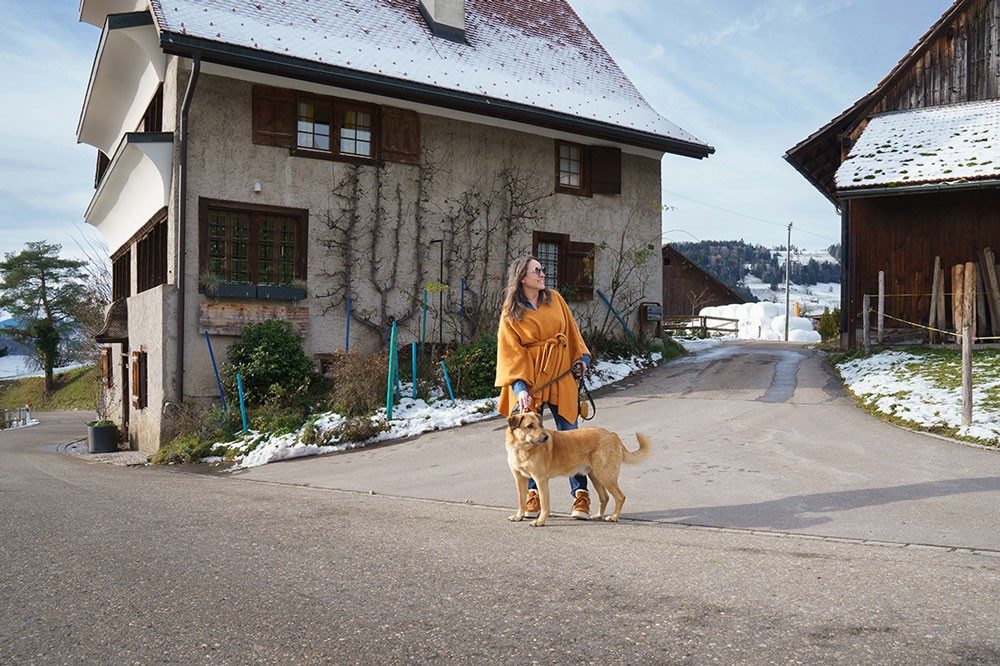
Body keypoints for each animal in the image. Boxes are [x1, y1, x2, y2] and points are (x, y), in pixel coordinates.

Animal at [504, 410, 652, 524]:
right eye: (529, 426)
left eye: (540, 425)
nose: (546, 438)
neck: (521, 449)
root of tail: (612, 435)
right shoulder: (519, 479)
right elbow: (521, 500)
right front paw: (519, 516)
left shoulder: (541, 480)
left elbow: (545, 505)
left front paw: (540, 522)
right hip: (595, 476)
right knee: (605, 497)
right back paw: (598, 515)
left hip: (605, 476)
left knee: (620, 497)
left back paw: (614, 517)